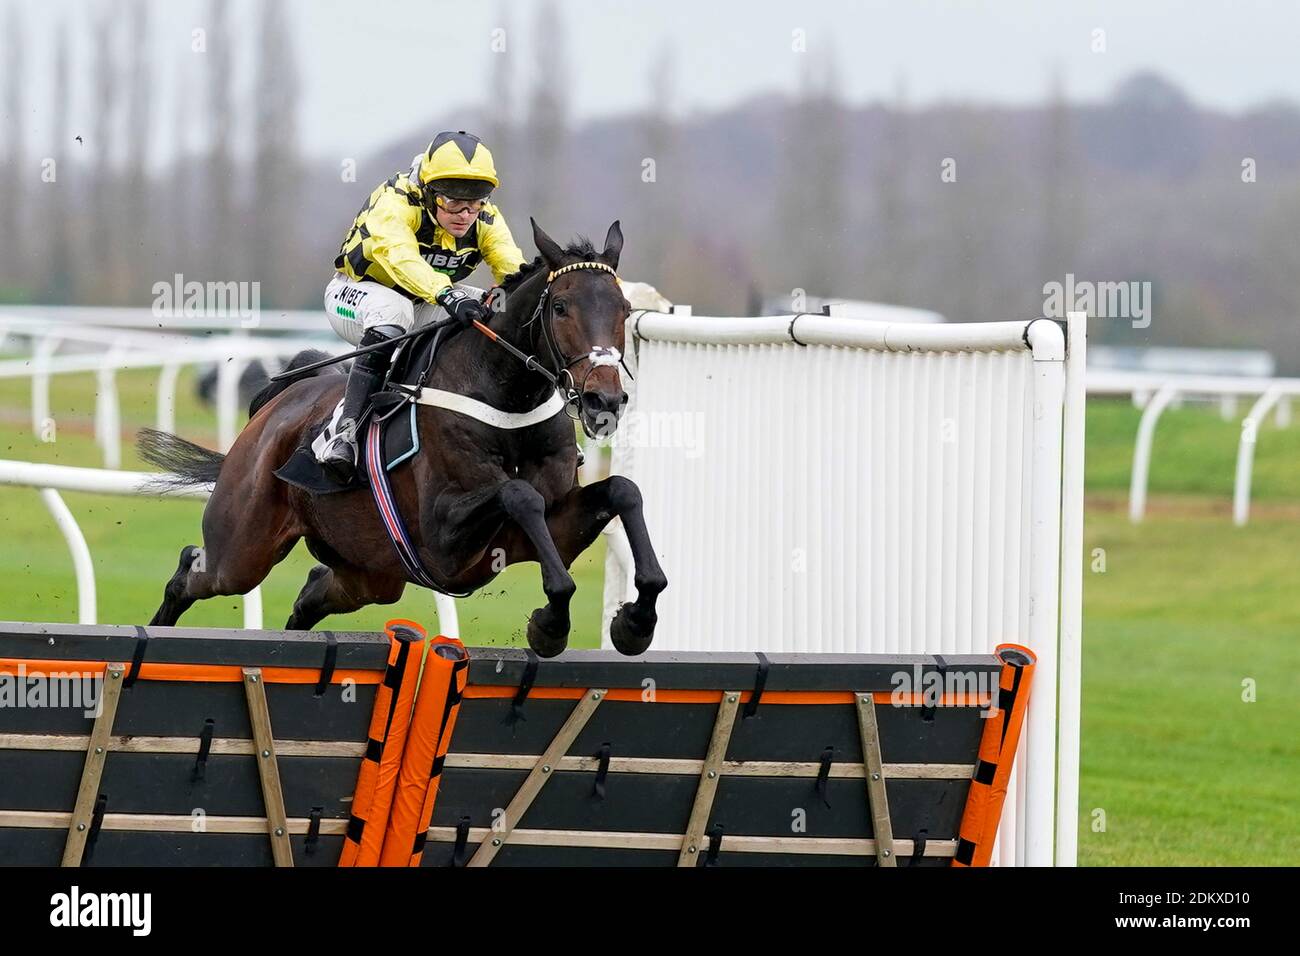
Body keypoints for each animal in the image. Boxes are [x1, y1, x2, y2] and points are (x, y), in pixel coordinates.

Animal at [141, 217, 665, 658]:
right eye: (559, 307)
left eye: (624, 309)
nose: (602, 400)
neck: (506, 398)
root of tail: (279, 400)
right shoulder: (445, 539)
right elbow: (518, 494)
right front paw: (551, 624)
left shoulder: (547, 526)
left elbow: (624, 490)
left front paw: (636, 620)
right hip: (241, 548)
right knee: (191, 570)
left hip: (369, 575)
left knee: (310, 594)